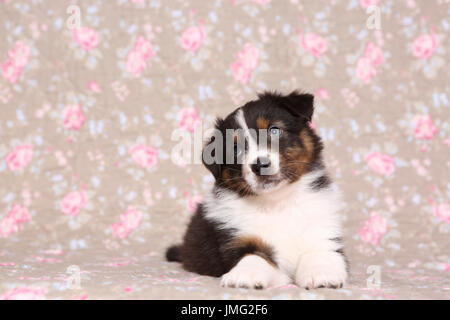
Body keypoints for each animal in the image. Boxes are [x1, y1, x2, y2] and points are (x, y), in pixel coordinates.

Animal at [165, 90, 348, 290]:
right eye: (235, 149)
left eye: (274, 130)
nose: (260, 165)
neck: (277, 202)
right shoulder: (239, 238)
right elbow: (254, 256)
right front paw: (244, 275)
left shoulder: (322, 232)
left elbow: (320, 253)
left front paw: (321, 274)